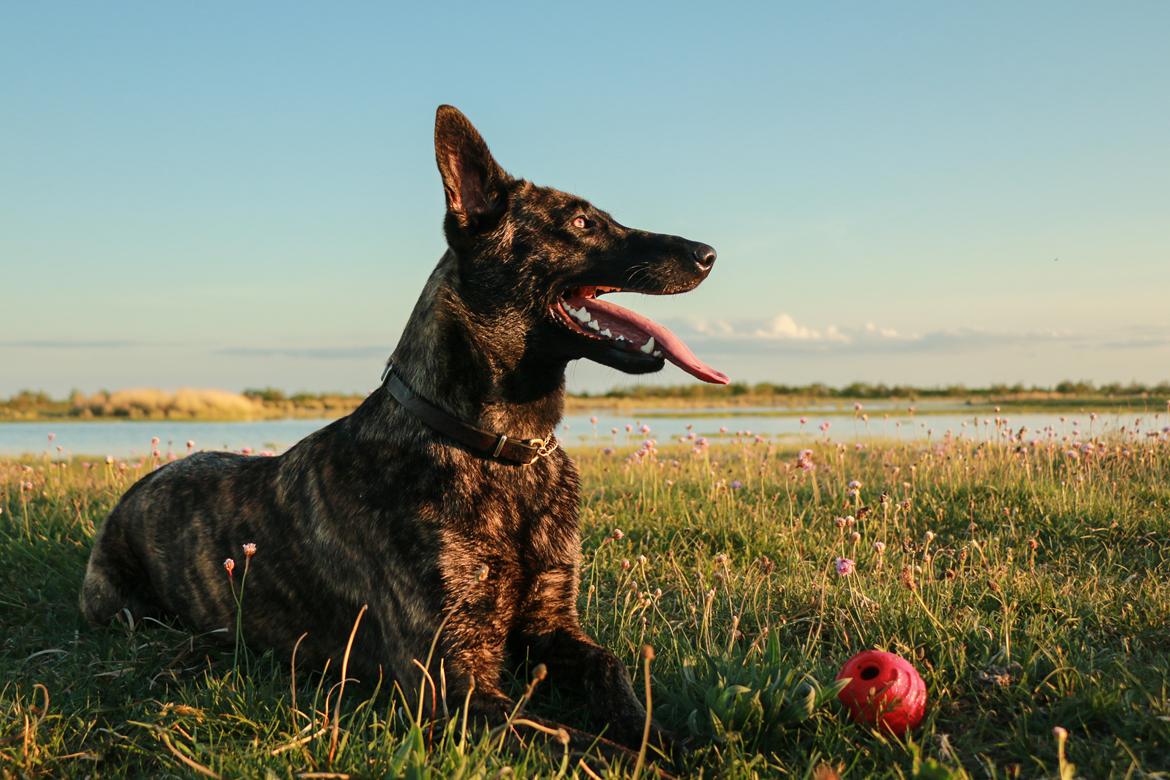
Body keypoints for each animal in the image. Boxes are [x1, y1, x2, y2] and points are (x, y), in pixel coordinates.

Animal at [80, 107, 720, 767]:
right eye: (581, 222)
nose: (708, 254)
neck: (495, 448)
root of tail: (141, 483)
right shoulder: (456, 687)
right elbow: (574, 737)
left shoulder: (554, 628)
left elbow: (611, 672)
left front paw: (668, 738)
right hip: (121, 610)